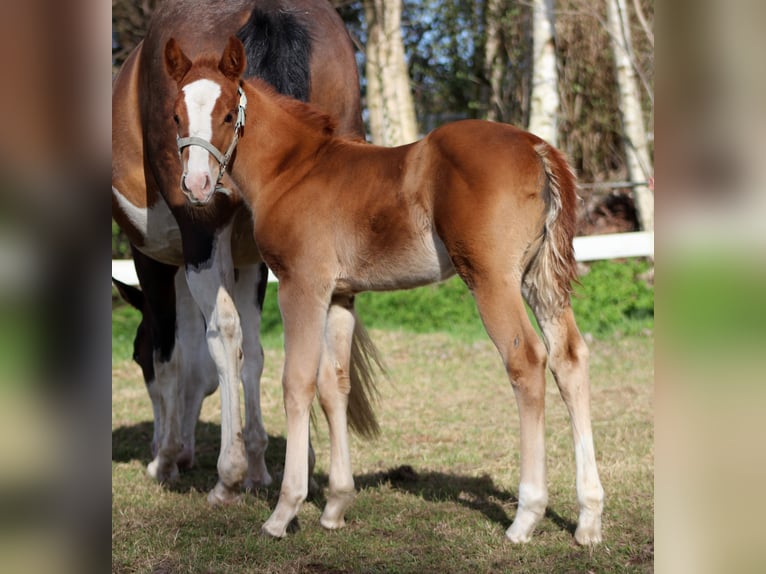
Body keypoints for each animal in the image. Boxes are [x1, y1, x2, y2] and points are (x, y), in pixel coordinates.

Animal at [111, 0, 381, 505]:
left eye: (134, 357)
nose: (176, 453)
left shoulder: (154, 259)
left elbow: (174, 357)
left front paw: (168, 459)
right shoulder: (252, 258)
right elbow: (252, 354)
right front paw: (258, 463)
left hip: (199, 232)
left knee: (223, 334)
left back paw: (227, 475)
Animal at [164, 36, 605, 545]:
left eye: (223, 114)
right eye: (175, 115)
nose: (196, 186)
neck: (292, 170)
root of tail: (537, 146)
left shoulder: (301, 285)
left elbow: (297, 382)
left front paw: (283, 512)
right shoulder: (340, 295)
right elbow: (334, 384)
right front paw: (335, 506)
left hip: (492, 278)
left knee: (528, 360)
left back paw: (526, 516)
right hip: (539, 279)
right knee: (569, 359)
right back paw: (589, 518)